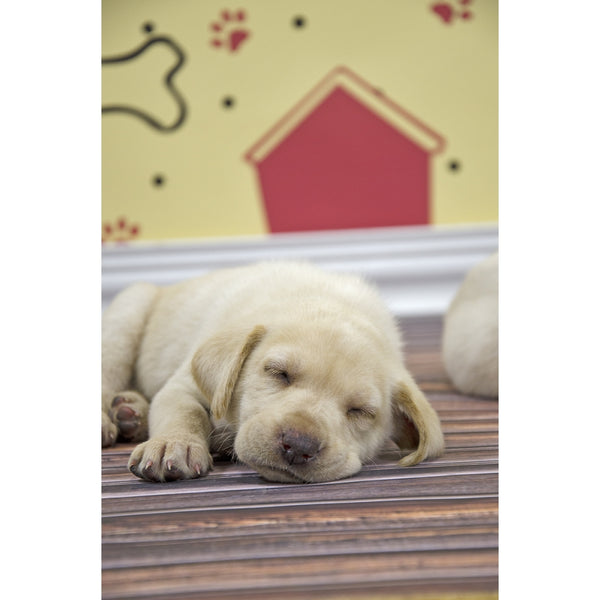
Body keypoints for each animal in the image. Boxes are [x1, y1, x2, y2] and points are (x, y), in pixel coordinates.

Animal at [101, 260, 442, 480]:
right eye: (279, 373)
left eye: (360, 411)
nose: (299, 446)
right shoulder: (184, 385)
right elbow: (185, 412)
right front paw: (174, 444)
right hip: (126, 315)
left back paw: (130, 412)